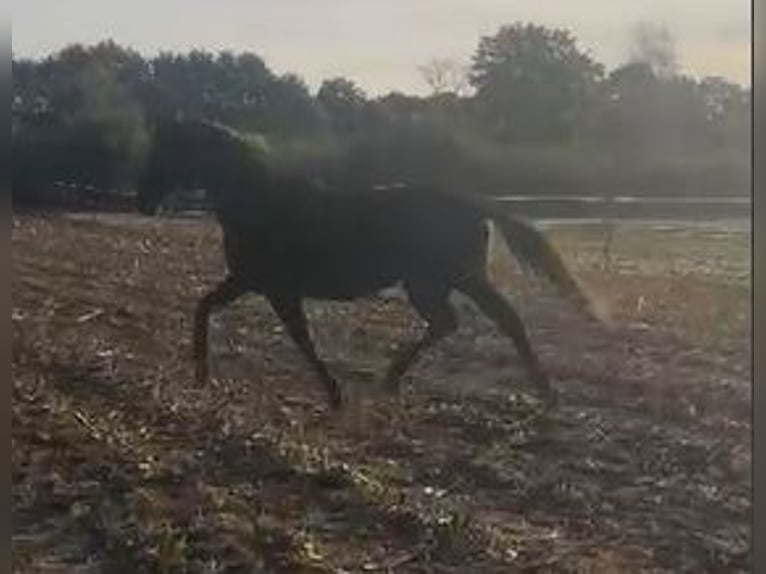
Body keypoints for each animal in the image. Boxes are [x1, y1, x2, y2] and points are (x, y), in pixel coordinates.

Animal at [136, 118, 598, 410]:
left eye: (165, 150)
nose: (142, 202)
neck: (261, 204)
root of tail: (470, 203)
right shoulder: (251, 281)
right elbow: (207, 307)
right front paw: (200, 375)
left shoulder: (271, 285)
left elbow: (299, 337)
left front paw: (334, 394)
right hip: (431, 283)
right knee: (450, 323)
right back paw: (392, 380)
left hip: (452, 278)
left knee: (501, 319)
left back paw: (546, 393)